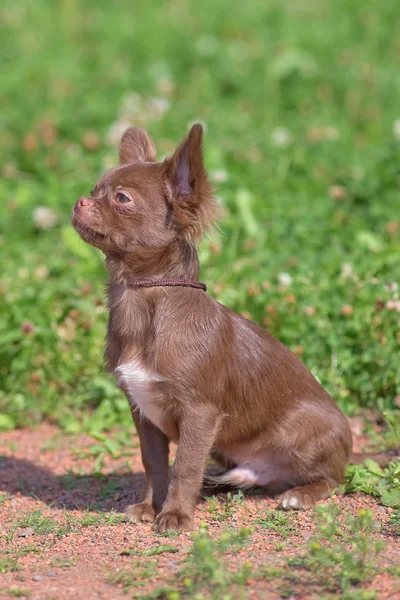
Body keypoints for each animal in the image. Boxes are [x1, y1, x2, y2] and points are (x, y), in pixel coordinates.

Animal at [73, 124, 396, 532]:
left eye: (121, 198)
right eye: (95, 189)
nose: (79, 201)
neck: (142, 299)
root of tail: (351, 448)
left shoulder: (200, 414)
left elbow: (184, 467)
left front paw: (175, 514)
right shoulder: (142, 411)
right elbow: (154, 464)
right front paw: (151, 506)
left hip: (303, 435)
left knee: (333, 478)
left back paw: (300, 494)